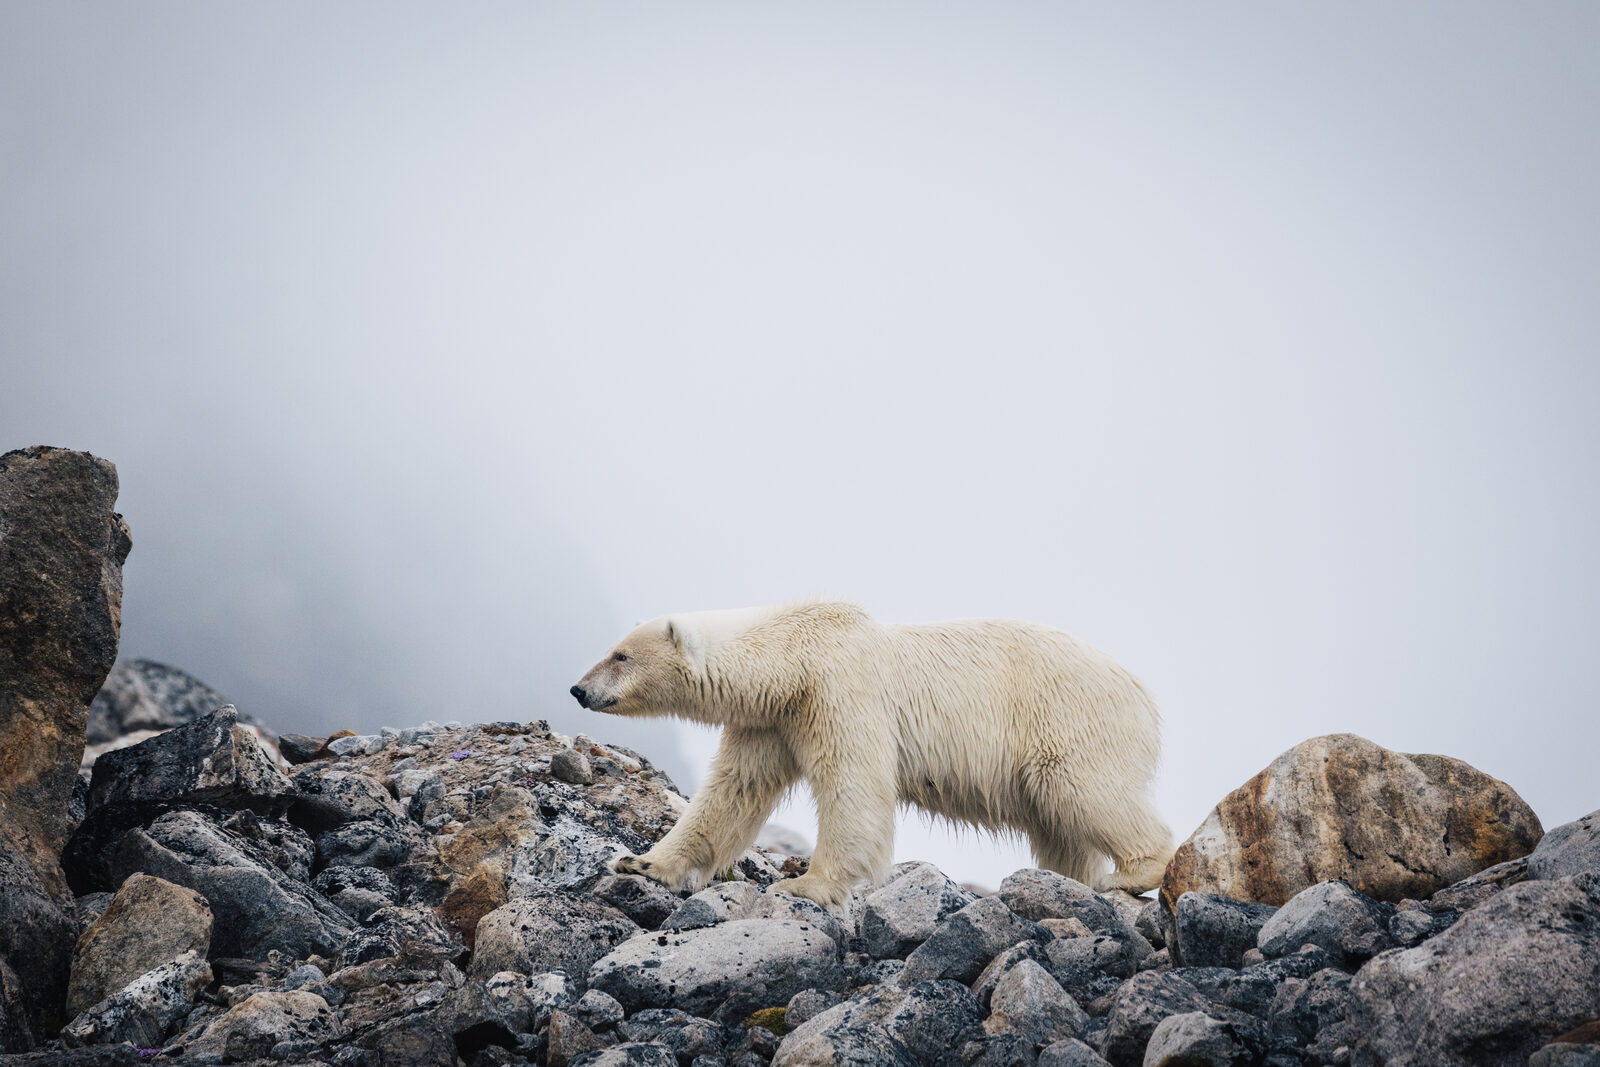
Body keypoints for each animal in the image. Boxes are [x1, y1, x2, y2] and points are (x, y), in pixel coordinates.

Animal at [570, 599, 1173, 906]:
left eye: (621, 655)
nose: (578, 689)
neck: (792, 657)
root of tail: (1146, 696)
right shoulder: (771, 721)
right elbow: (732, 792)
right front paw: (642, 862)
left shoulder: (839, 689)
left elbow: (854, 786)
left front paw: (806, 884)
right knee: (1058, 828)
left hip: (1069, 720)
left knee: (1084, 790)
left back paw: (1131, 874)